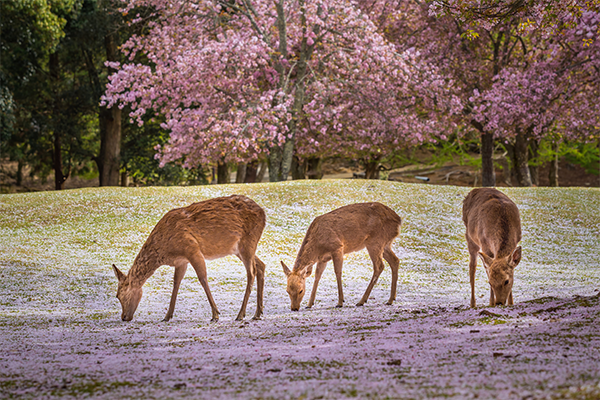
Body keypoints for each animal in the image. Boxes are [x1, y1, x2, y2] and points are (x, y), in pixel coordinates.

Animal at [110, 195, 264, 324]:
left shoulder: (192, 249)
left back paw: (241, 314)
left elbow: (202, 278)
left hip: (248, 242)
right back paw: (257, 313)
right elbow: (176, 283)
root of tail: (263, 213)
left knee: (251, 272)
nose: (124, 317)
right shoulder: (181, 261)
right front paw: (167, 316)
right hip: (239, 248)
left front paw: (215, 314)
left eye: (118, 295)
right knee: (261, 265)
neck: (165, 250)